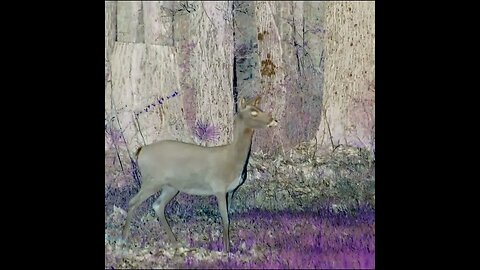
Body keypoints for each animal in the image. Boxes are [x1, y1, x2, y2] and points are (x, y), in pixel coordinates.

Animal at [121, 96, 278, 253]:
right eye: (253, 113)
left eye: (260, 109)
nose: (273, 120)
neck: (233, 160)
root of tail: (141, 151)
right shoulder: (219, 187)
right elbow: (225, 218)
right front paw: (226, 250)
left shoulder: (231, 190)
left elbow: (229, 217)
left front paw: (228, 246)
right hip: (152, 180)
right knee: (133, 201)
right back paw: (124, 238)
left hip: (171, 186)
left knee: (157, 205)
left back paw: (175, 242)